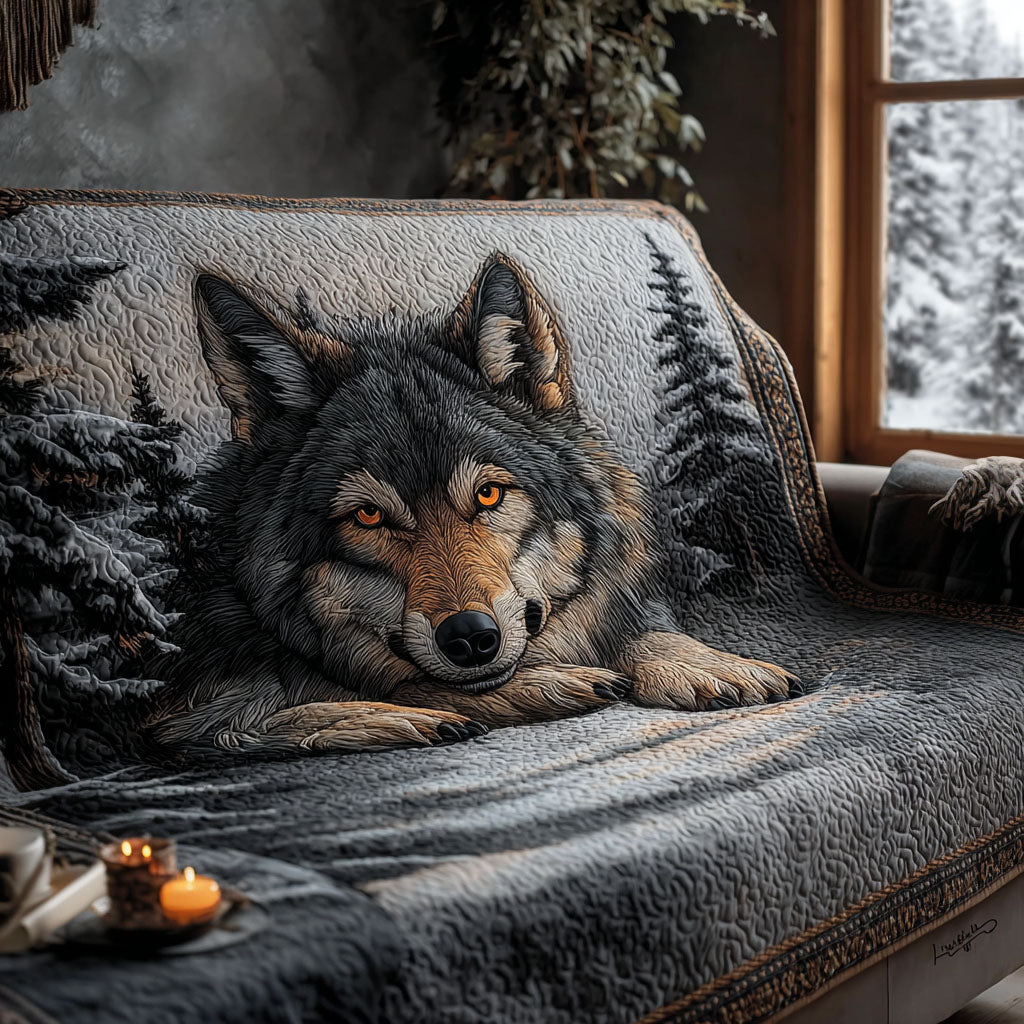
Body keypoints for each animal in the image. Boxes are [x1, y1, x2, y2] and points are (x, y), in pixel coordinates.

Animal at [151, 254, 800, 755]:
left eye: (488, 494)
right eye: (369, 515)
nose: (469, 638)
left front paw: (703, 662)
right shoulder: (183, 703)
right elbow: (391, 686)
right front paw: (546, 686)